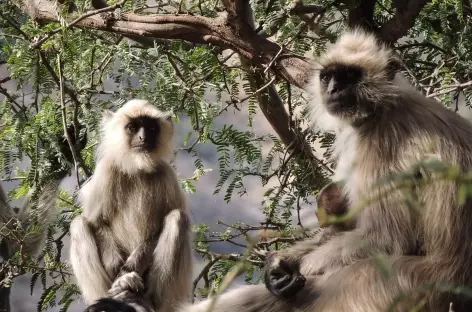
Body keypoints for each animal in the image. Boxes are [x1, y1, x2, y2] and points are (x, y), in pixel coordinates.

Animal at [70, 99, 192, 312]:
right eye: (133, 127)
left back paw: (143, 300)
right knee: (79, 224)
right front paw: (118, 272)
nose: (143, 137)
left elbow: (157, 230)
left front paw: (127, 272)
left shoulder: (166, 175)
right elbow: (97, 222)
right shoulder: (107, 171)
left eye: (151, 128)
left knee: (178, 218)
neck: (137, 168)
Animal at [172, 29, 472, 312]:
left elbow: (386, 238)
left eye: (349, 75)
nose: (333, 90)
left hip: (395, 285)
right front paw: (280, 264)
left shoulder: (382, 141)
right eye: (328, 77)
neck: (382, 108)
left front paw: (293, 269)